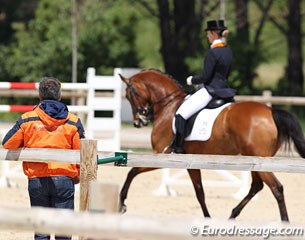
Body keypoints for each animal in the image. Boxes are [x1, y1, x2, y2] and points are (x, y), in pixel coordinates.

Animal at [118, 69, 304, 221]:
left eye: (129, 95)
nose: (138, 122)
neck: (168, 106)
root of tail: (271, 112)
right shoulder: (190, 163)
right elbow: (200, 192)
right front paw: (208, 218)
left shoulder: (161, 155)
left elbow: (132, 171)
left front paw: (122, 204)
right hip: (257, 161)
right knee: (257, 186)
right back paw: (232, 215)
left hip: (260, 161)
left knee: (276, 188)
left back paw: (284, 222)